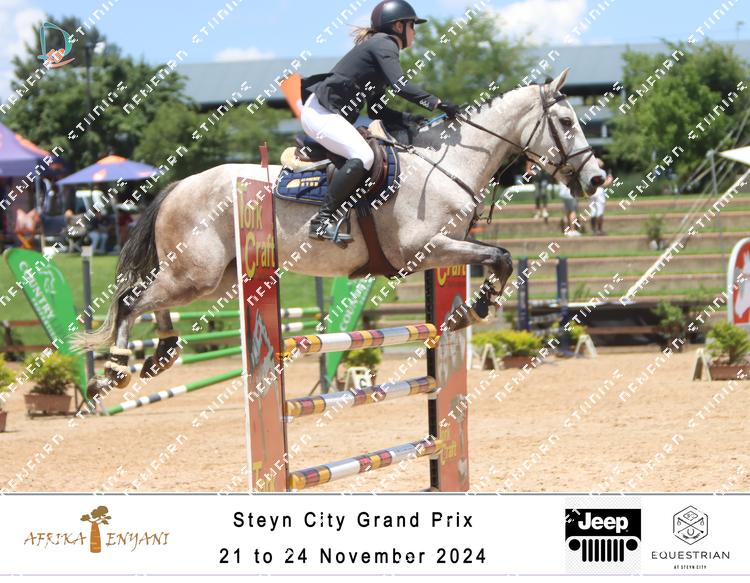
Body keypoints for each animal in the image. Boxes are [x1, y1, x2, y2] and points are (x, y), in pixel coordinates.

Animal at [75, 68, 605, 391]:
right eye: (565, 120)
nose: (597, 178)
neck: (444, 164)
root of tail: (177, 187)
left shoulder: (450, 245)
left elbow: (499, 255)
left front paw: (475, 306)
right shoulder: (425, 248)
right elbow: (499, 256)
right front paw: (477, 306)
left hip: (214, 279)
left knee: (150, 299)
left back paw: (161, 352)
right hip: (197, 274)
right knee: (131, 300)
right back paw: (115, 369)